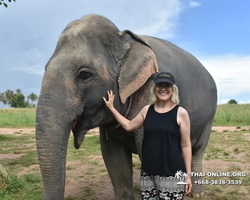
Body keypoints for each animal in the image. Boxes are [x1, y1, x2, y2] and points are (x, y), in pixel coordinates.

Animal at [35, 14, 217, 200]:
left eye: (84, 74)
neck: (124, 37)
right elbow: (114, 159)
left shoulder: (149, 87)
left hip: (209, 116)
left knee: (198, 150)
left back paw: (197, 194)